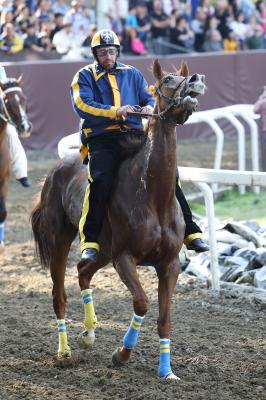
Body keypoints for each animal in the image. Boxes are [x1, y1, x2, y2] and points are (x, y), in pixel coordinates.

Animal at [31, 61, 206, 380]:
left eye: (184, 75)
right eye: (166, 79)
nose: (196, 80)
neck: (152, 194)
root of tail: (54, 172)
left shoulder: (169, 264)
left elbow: (165, 318)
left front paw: (166, 371)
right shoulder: (124, 257)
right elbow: (142, 303)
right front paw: (122, 353)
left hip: (103, 249)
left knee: (83, 271)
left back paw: (89, 333)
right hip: (61, 240)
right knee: (59, 294)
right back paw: (64, 352)